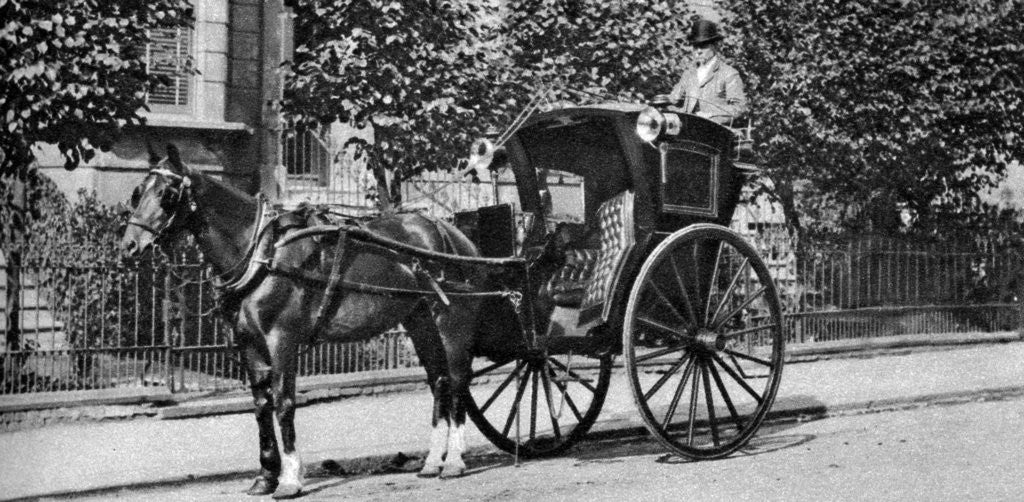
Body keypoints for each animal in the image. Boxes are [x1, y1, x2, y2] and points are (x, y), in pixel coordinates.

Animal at [121, 145, 497, 499]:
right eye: (138, 192)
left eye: (167, 195)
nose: (129, 246)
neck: (263, 251)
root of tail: (451, 233)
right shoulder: (248, 342)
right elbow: (261, 405)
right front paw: (265, 476)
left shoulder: (282, 339)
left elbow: (284, 403)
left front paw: (289, 479)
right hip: (420, 322)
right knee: (439, 381)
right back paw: (433, 461)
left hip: (452, 322)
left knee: (458, 380)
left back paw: (454, 461)